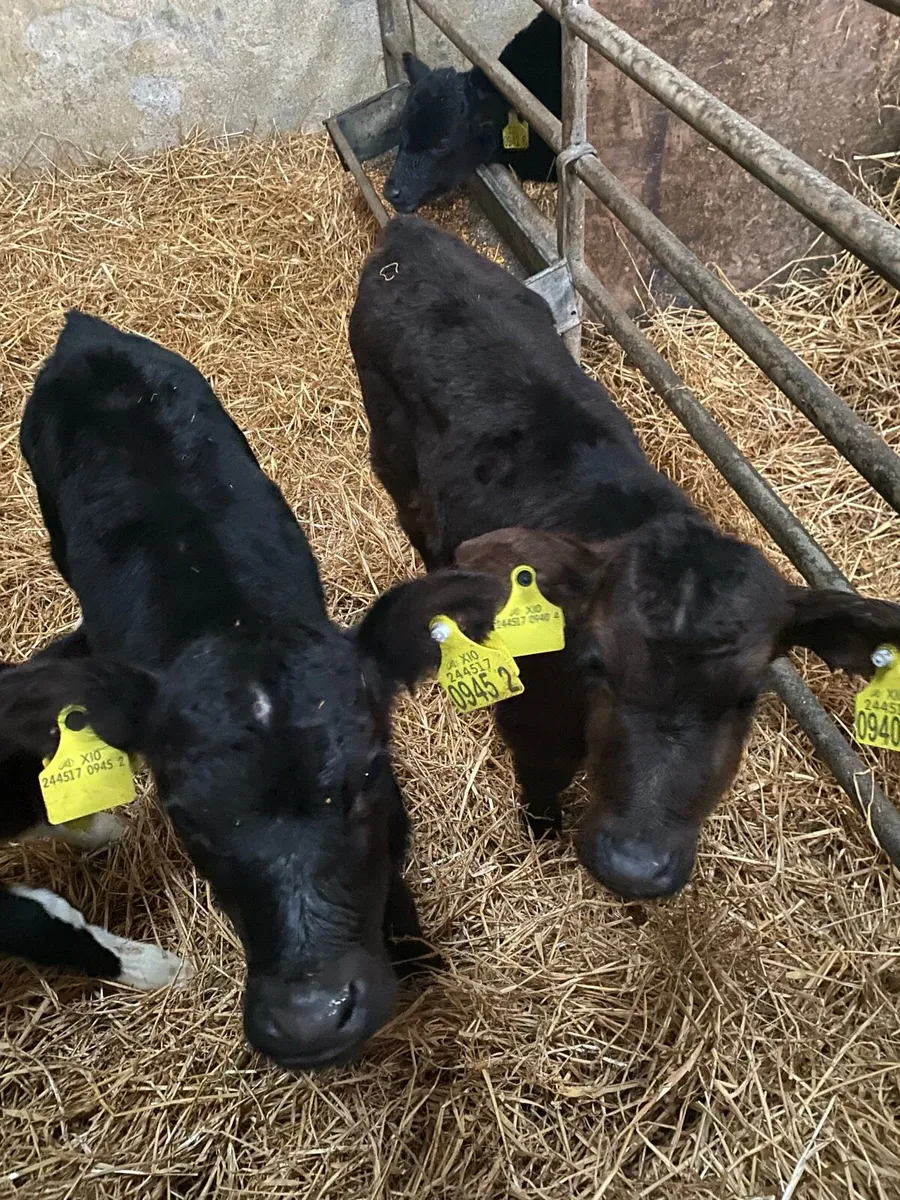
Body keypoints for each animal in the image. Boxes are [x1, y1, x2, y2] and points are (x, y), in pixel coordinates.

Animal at [0, 311, 504, 1070]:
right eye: (186, 817)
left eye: (370, 774)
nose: (312, 1020)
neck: (229, 618)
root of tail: (82, 333)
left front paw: (418, 954)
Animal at [349, 216, 900, 901]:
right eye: (596, 665)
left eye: (749, 695)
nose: (635, 865)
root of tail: (410, 232)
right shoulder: (531, 730)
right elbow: (541, 790)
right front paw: (542, 838)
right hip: (392, 453)